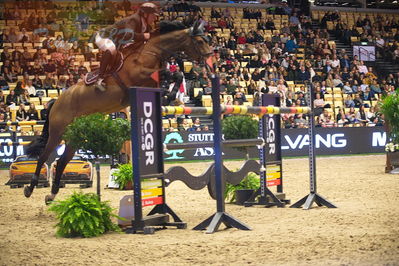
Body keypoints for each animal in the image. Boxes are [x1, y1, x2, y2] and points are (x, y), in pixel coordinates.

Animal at [24, 21, 212, 204]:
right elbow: (170, 74)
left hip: (74, 136)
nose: (208, 60)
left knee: (63, 161)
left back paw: (52, 195)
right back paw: (30, 188)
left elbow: (177, 75)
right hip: (57, 133)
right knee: (43, 157)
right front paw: (169, 95)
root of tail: (56, 101)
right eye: (200, 41)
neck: (151, 50)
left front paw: (171, 96)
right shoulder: (142, 77)